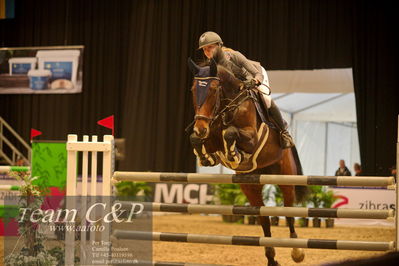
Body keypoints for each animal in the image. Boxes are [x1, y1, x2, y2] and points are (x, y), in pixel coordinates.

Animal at [188, 58, 310, 266]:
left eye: (213, 89)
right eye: (193, 90)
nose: (200, 127)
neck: (227, 107)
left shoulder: (252, 138)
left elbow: (230, 133)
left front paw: (234, 155)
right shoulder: (210, 139)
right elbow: (196, 140)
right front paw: (207, 157)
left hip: (286, 178)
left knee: (289, 212)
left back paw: (297, 251)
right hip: (250, 186)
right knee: (264, 219)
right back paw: (271, 259)